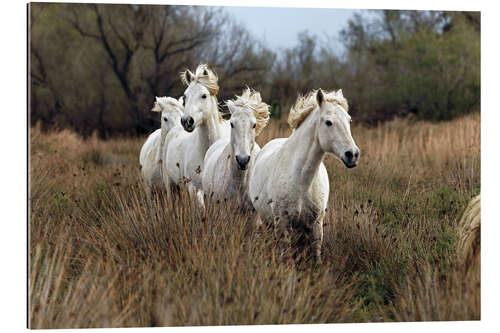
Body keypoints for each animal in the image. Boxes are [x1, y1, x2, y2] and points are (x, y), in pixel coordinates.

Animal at [247, 89, 360, 262]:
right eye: (328, 122)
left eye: (349, 120)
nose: (352, 155)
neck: (301, 181)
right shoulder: (283, 225)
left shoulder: (315, 226)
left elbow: (316, 257)